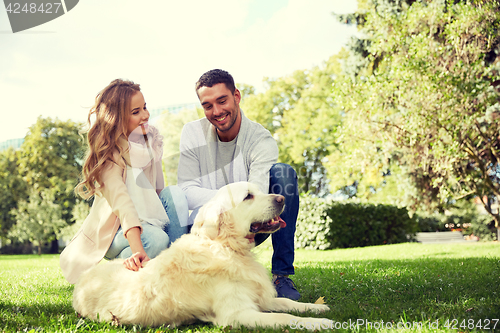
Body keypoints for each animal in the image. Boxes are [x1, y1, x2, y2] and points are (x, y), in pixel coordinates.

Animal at [72, 180, 332, 328]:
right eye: (248, 196)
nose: (282, 198)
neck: (226, 248)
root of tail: (83, 278)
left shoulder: (261, 298)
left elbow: (286, 303)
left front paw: (316, 308)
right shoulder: (237, 314)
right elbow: (284, 318)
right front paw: (320, 323)